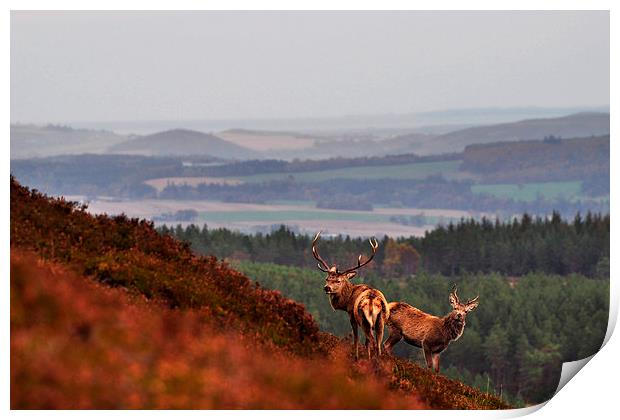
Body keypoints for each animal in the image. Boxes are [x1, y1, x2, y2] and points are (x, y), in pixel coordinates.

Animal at [312, 231, 390, 360]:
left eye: (338, 281)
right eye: (327, 278)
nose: (327, 288)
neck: (346, 302)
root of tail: (372, 301)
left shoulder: (352, 316)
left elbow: (356, 339)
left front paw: (356, 358)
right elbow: (366, 343)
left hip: (364, 320)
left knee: (373, 342)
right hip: (380, 322)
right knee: (378, 345)